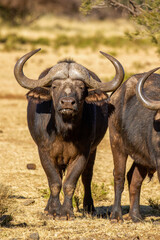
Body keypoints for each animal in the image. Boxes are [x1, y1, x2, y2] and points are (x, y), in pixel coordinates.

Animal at [13, 48, 124, 219]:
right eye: (54, 86)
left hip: (93, 151)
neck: (64, 132)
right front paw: (53, 210)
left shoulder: (83, 153)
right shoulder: (44, 152)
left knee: (87, 177)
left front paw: (66, 212)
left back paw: (89, 207)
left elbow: (70, 183)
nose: (67, 103)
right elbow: (54, 182)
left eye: (81, 87)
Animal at [109, 66, 160, 222]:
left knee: (135, 179)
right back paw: (116, 215)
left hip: (141, 157)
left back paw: (136, 215)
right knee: (119, 176)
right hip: (116, 144)